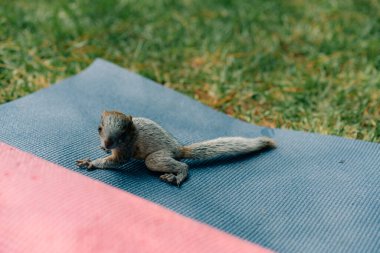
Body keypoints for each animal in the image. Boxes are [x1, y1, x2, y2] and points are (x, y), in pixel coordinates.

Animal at [76, 111, 276, 185]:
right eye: (99, 128)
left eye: (123, 135)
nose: (107, 144)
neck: (132, 133)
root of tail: (179, 149)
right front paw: (102, 150)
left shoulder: (125, 151)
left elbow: (115, 161)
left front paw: (91, 162)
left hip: (155, 159)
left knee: (182, 165)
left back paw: (177, 176)